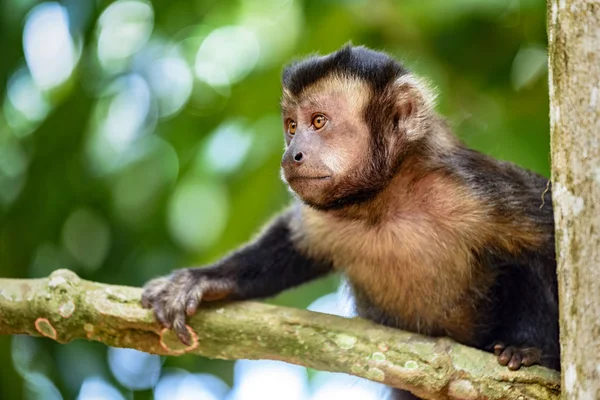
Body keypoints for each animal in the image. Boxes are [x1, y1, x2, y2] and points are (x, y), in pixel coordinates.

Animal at [141, 45, 556, 398]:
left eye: (318, 121)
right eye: (292, 126)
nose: (291, 154)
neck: (385, 201)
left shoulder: (472, 189)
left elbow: (546, 238)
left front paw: (531, 347)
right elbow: (293, 242)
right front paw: (206, 279)